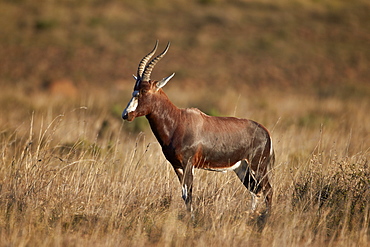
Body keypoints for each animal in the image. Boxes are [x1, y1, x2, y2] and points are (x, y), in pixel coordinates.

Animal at [122, 41, 274, 214]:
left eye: (144, 90)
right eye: (134, 89)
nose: (126, 114)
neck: (178, 120)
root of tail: (265, 132)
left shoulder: (188, 165)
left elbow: (189, 194)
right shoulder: (177, 166)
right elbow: (184, 195)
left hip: (258, 166)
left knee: (267, 190)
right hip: (242, 167)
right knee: (255, 190)